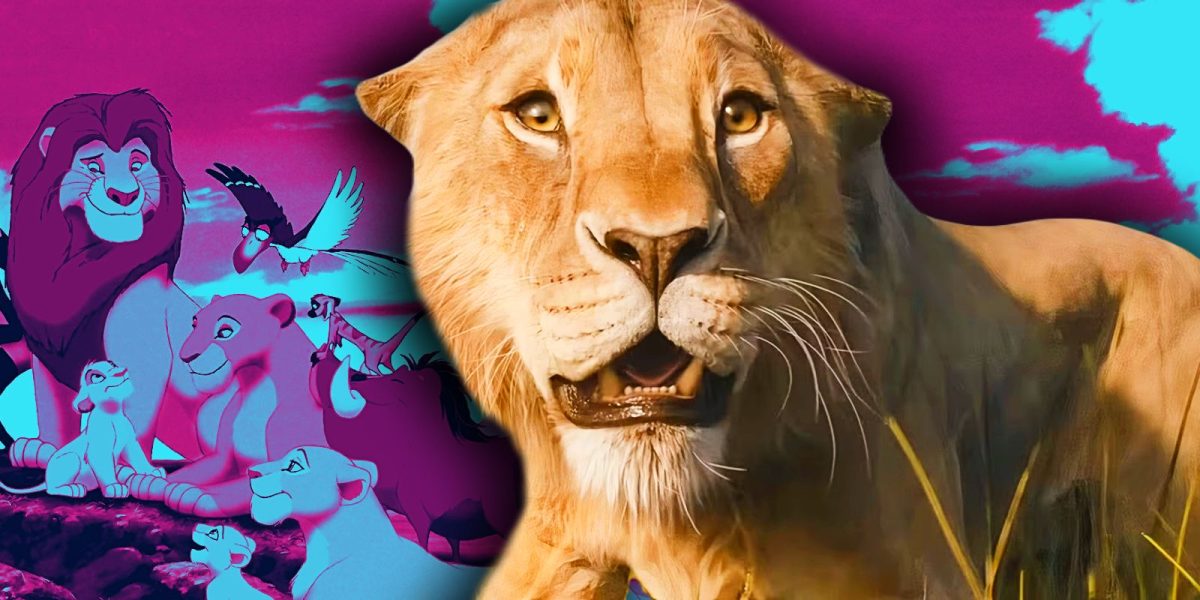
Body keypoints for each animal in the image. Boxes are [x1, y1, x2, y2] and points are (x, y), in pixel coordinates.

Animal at [8, 90, 206, 459]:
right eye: (93, 166)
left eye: (137, 165)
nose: (124, 195)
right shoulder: (44, 346)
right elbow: (51, 402)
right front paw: (41, 450)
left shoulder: (140, 295)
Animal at [122, 294, 328, 517]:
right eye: (195, 324)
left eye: (225, 331)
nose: (186, 356)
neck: (256, 384)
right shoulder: (223, 458)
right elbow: (192, 471)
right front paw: (150, 481)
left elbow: (243, 488)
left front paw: (191, 493)